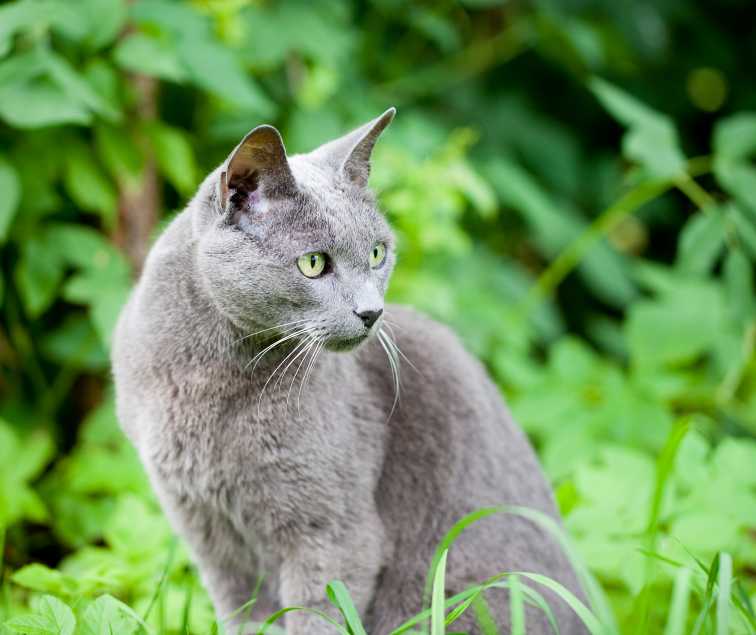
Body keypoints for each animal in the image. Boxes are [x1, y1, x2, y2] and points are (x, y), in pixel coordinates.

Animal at [112, 110, 588, 635]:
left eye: (378, 253)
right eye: (313, 263)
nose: (371, 311)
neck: (210, 376)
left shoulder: (333, 534)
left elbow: (315, 616)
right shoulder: (205, 531)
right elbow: (244, 615)